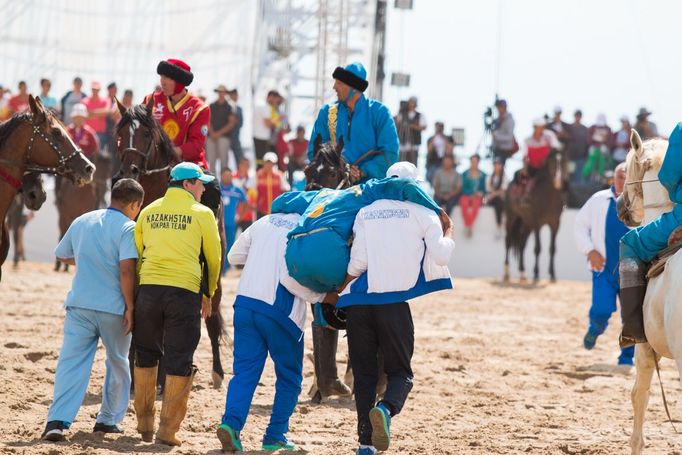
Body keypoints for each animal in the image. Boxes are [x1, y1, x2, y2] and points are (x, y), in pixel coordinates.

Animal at [113, 99, 227, 388]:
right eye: (120, 135)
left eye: (145, 133)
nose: (129, 172)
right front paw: (137, 374)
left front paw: (163, 376)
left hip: (215, 272)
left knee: (212, 317)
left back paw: (217, 372)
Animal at [502, 150, 564, 284]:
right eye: (552, 162)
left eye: (563, 161)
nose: (558, 180)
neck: (549, 197)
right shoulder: (537, 224)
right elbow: (537, 248)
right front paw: (536, 274)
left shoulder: (555, 224)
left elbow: (552, 249)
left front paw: (552, 274)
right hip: (511, 217)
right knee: (508, 241)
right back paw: (506, 273)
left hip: (527, 224)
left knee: (521, 244)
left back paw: (522, 273)